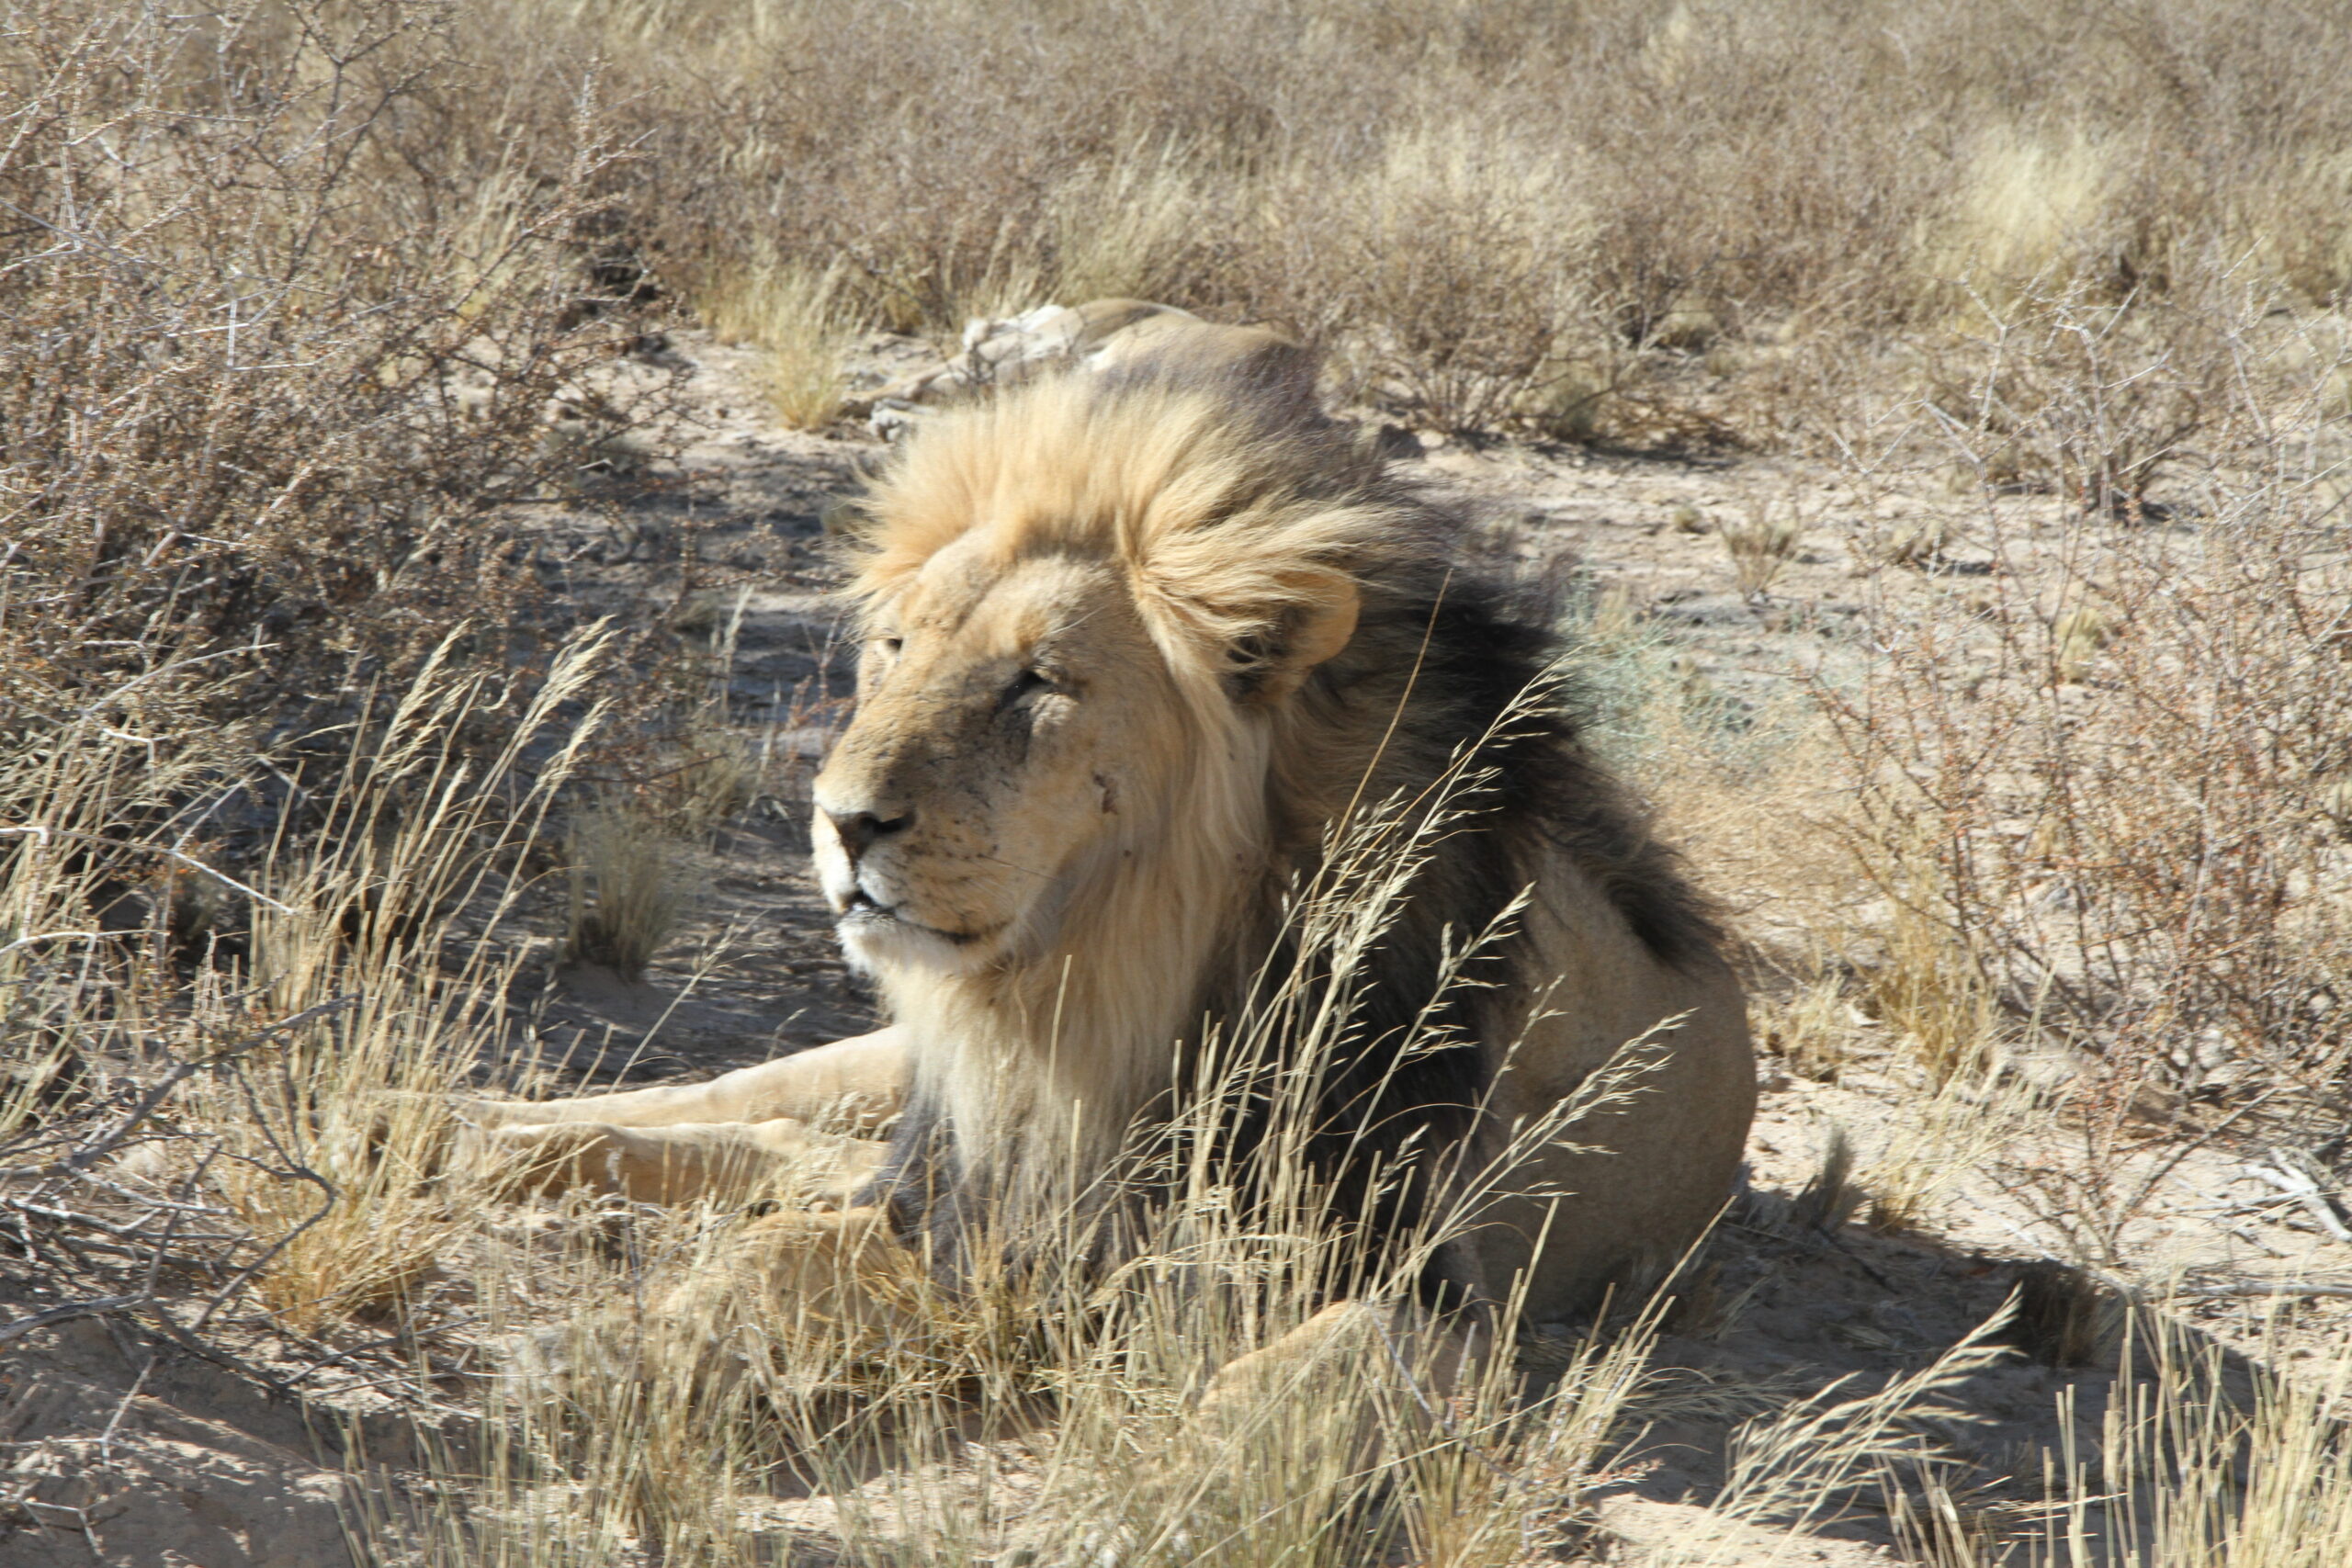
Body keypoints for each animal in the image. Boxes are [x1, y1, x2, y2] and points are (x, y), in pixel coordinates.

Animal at [472, 338, 1749, 1354]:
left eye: (1037, 682)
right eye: (893, 647)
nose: (841, 820)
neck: (1101, 984)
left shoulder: (1420, 1286)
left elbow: (1294, 1377)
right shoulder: (957, 1181)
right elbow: (773, 1245)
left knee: (783, 1141)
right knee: (745, 1102)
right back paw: (464, 1123)